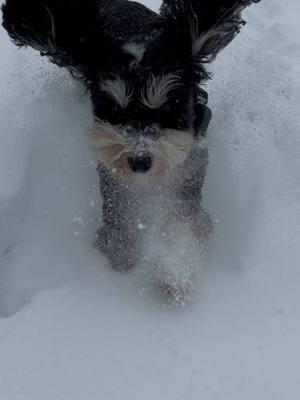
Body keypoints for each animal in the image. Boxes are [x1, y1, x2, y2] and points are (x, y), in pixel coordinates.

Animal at [1, 0, 260, 300]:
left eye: (169, 109)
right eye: (112, 109)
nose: (139, 161)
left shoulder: (189, 167)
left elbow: (180, 215)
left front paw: (176, 270)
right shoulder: (111, 168)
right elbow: (118, 205)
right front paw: (119, 246)